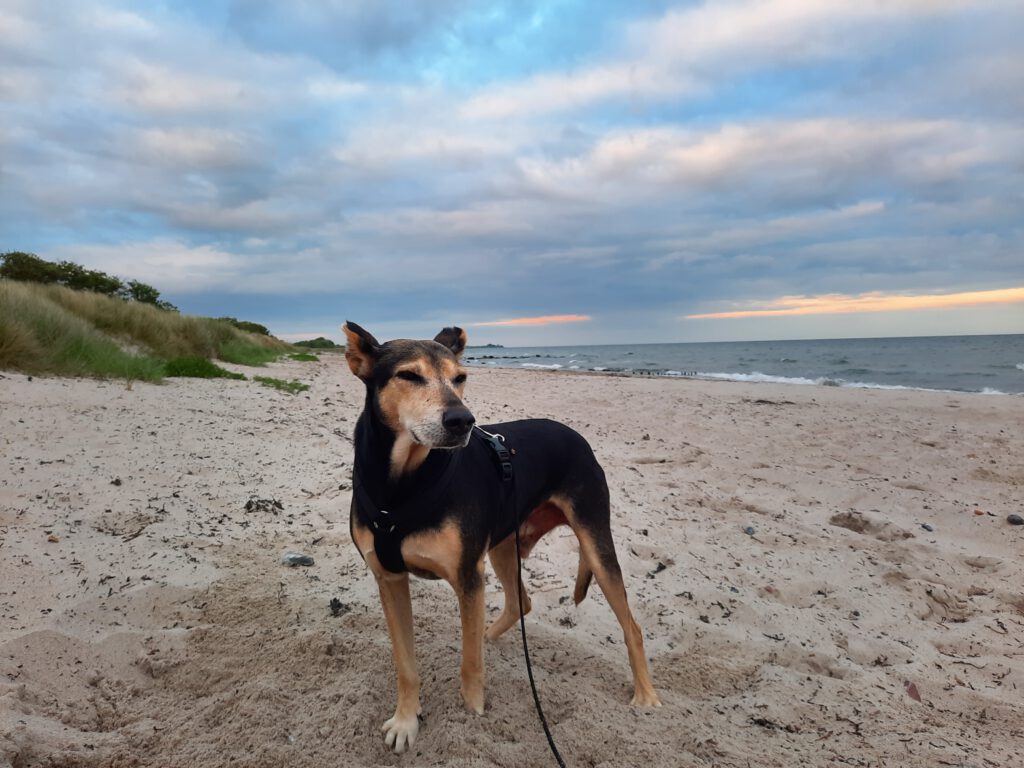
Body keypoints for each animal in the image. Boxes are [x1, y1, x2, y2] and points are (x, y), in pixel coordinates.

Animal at [343, 321, 661, 754]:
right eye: (408, 376)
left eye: (460, 378)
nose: (462, 420)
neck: (403, 482)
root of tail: (574, 434)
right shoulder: (389, 578)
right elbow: (405, 665)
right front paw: (407, 720)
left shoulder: (467, 577)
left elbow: (470, 663)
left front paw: (472, 713)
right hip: (503, 546)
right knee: (519, 602)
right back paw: (489, 633)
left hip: (594, 542)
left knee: (632, 627)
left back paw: (646, 695)